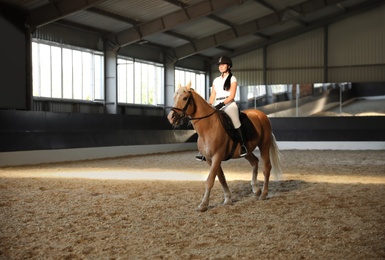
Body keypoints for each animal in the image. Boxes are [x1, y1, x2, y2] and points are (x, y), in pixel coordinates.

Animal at [166, 82, 280, 212]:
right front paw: (228, 199)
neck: (208, 127)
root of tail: (261, 115)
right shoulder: (210, 159)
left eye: (185, 98)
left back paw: (263, 194)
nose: (171, 117)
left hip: (264, 145)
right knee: (255, 161)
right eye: (174, 97)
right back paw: (256, 190)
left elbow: (210, 180)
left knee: (266, 167)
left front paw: (203, 205)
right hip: (246, 151)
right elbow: (221, 177)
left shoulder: (217, 156)